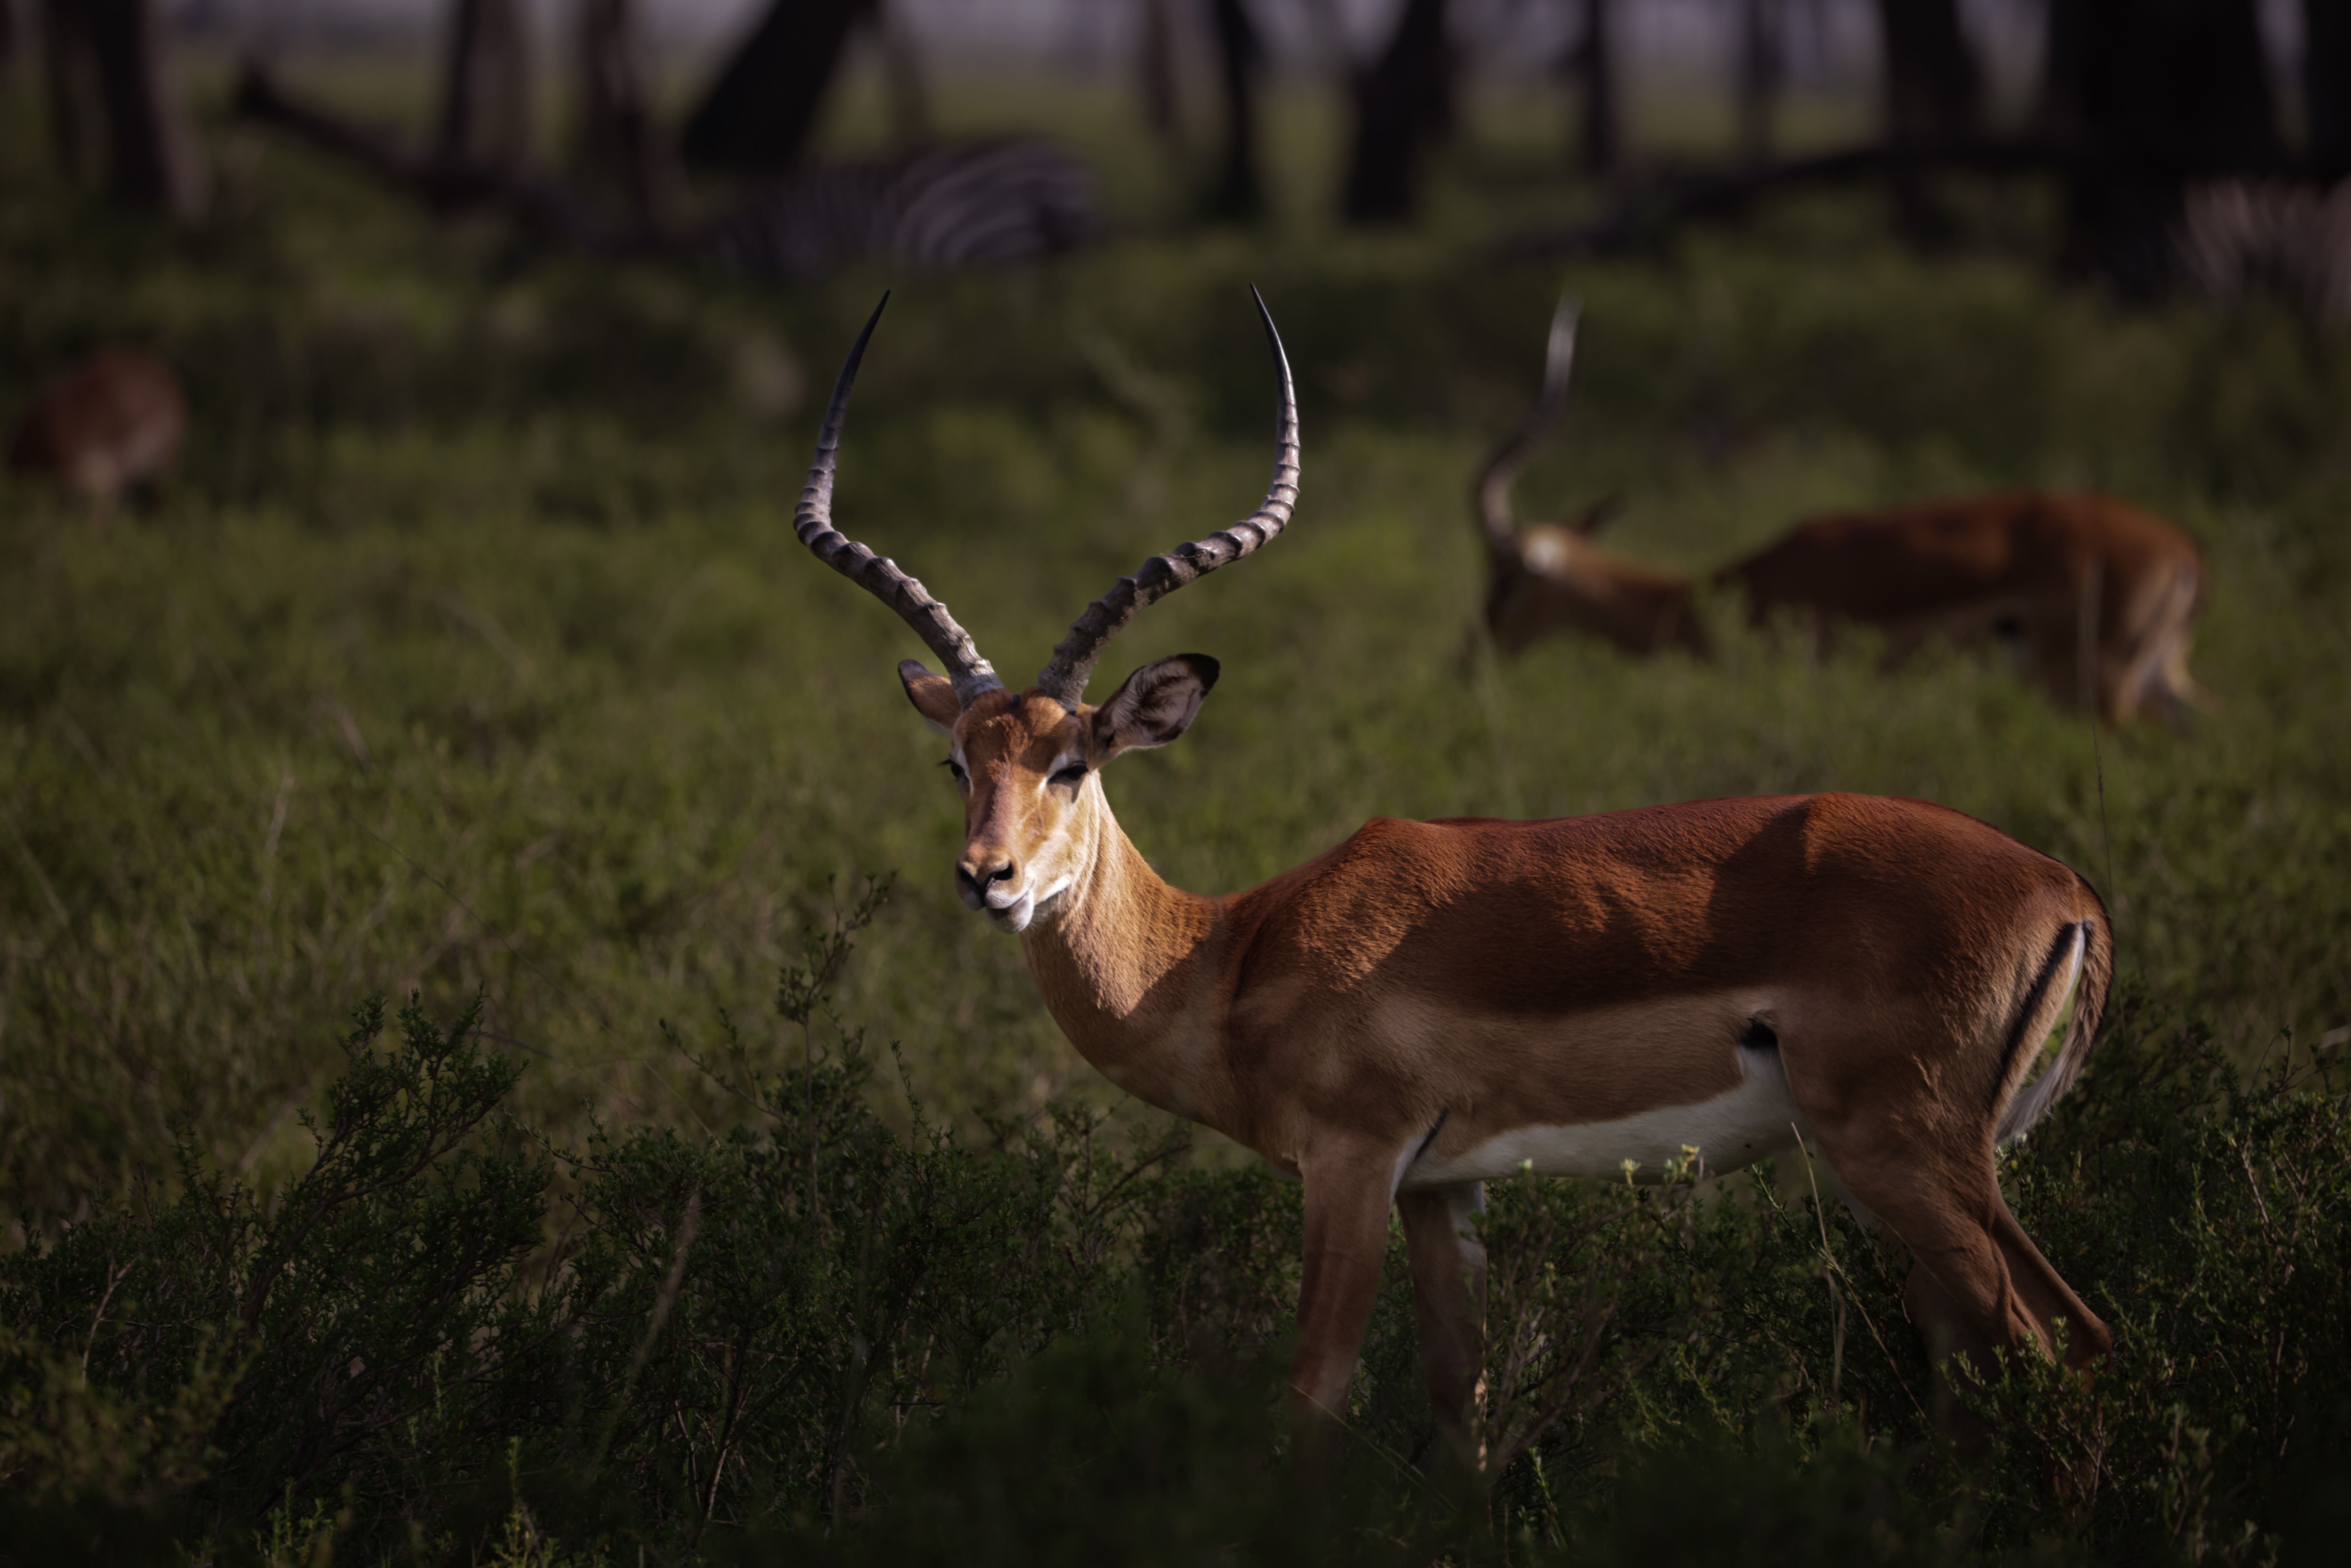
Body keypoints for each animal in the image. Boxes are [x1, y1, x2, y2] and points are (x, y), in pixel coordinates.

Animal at [791, 293, 2114, 1453]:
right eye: (958, 760)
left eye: (1071, 760)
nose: (989, 876)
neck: (1227, 953)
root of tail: (2067, 893)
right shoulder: (1441, 1188)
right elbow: (1457, 1403)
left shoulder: (1352, 1163)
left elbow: (1314, 1394)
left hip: (1902, 1146)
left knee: (2063, 1344)